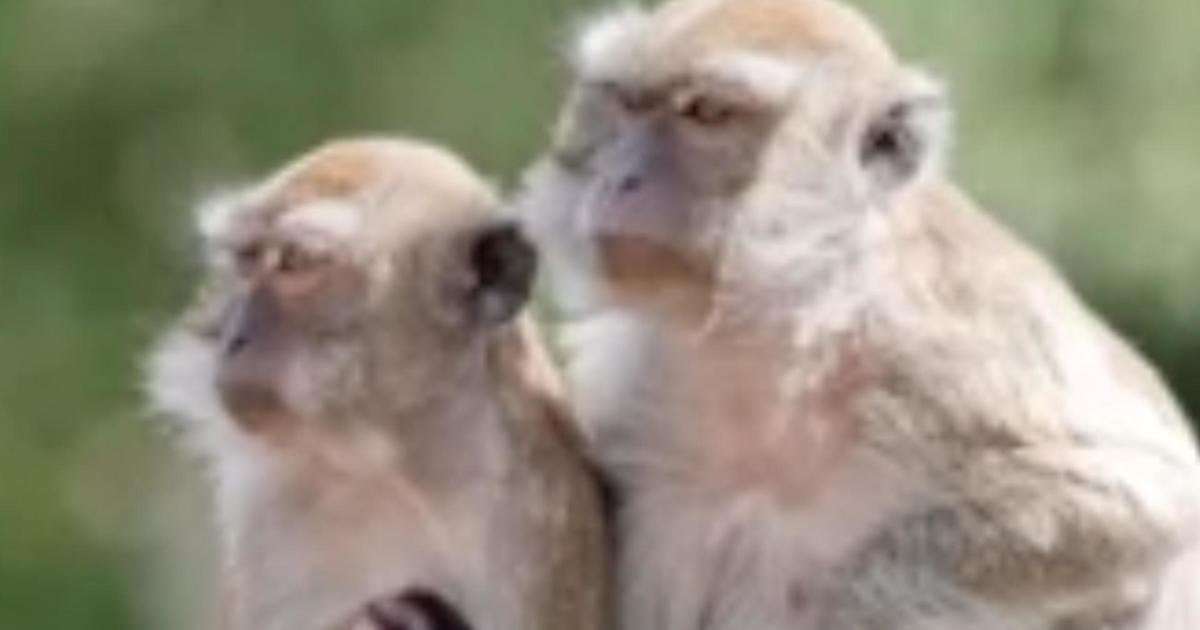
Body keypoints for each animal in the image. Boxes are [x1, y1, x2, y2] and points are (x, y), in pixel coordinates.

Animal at [146, 138, 609, 630]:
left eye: (296, 261)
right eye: (248, 260)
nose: (233, 336)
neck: (389, 464)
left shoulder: (532, 522)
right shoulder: (263, 518)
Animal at [519, 0, 1200, 628]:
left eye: (707, 113)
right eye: (625, 105)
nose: (619, 178)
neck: (790, 324)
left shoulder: (941, 361)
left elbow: (1141, 507)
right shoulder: (632, 377)